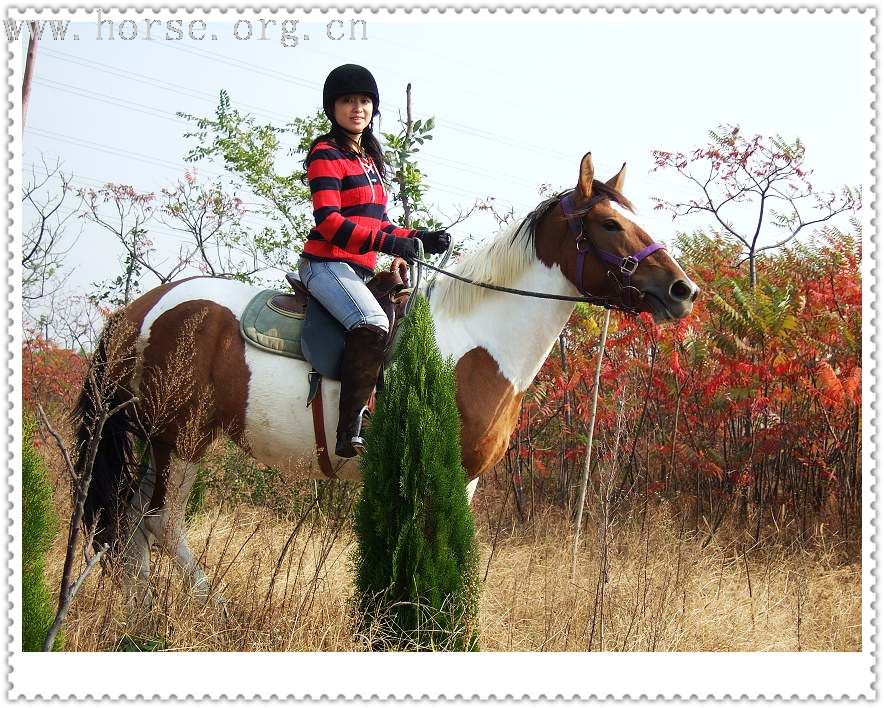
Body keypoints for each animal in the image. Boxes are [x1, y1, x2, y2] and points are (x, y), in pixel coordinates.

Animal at [74, 152, 696, 604]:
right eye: (610, 223)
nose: (683, 291)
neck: (475, 339)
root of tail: (141, 310)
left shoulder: (464, 480)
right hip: (182, 439)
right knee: (160, 525)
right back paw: (212, 607)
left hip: (159, 439)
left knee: (132, 528)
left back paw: (140, 616)